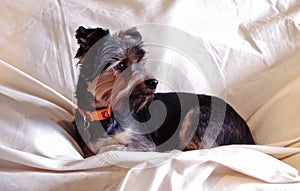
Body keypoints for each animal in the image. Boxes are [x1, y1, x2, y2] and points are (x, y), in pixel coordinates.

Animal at [71, 25, 255, 157]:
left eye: (139, 62)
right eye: (121, 64)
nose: (154, 82)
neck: (103, 113)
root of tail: (250, 138)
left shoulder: (143, 144)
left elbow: (110, 149)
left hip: (199, 114)